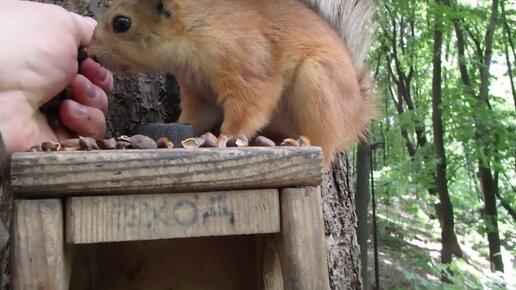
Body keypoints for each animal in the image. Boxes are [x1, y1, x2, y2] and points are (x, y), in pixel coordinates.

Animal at [87, 0, 378, 168]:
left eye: (121, 22)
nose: (89, 53)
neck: (195, 31)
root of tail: (356, 110)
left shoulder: (249, 66)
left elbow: (249, 106)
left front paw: (223, 137)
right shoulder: (198, 92)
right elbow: (196, 117)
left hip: (319, 83)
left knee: (325, 144)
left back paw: (302, 143)